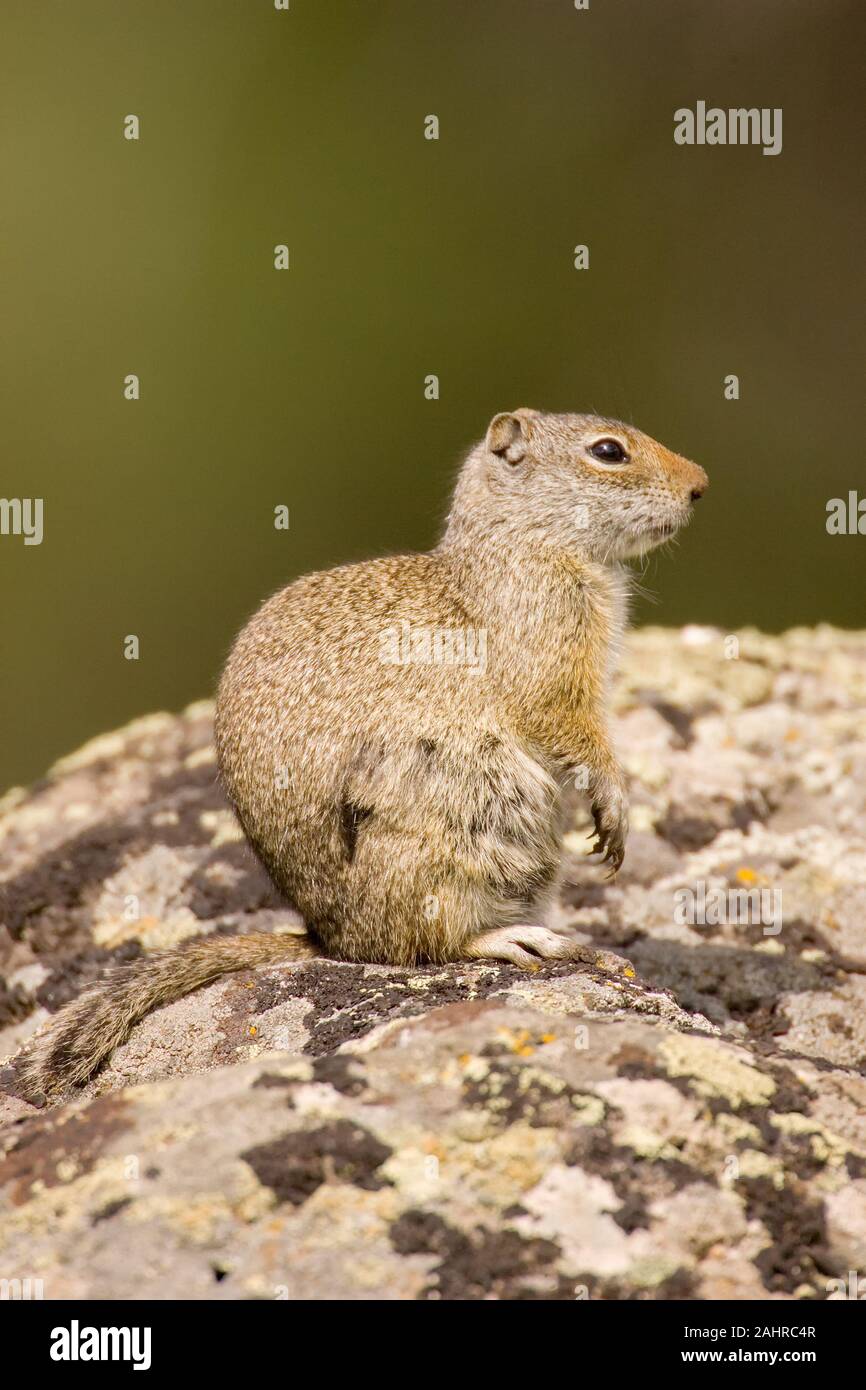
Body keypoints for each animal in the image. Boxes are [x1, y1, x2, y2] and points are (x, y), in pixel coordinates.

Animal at [16, 409, 707, 1097]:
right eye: (609, 451)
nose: (700, 484)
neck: (520, 544)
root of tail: (331, 940)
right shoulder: (551, 663)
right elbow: (573, 731)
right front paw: (616, 808)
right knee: (423, 943)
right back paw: (517, 938)